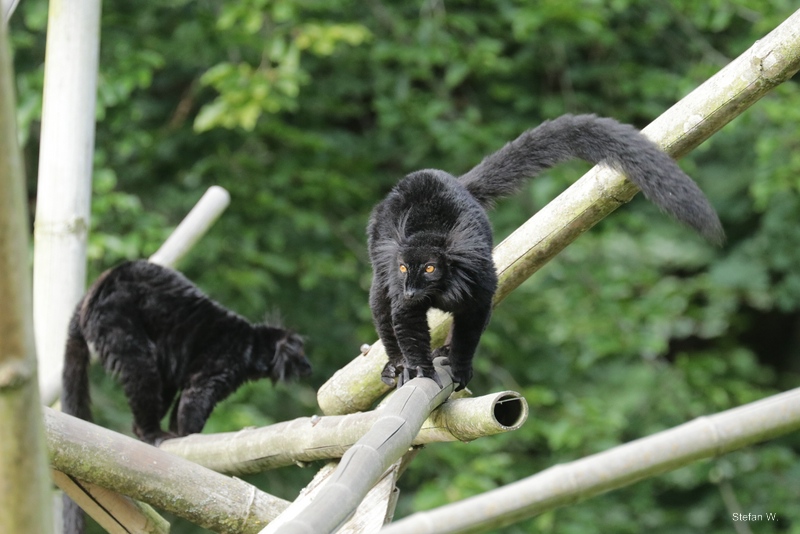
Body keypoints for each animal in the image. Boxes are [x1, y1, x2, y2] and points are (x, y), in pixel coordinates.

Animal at [368, 114, 724, 391]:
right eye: (404, 268)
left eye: (430, 268)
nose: (410, 289)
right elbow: (404, 316)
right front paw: (417, 369)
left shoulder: (477, 275)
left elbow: (473, 317)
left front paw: (458, 365)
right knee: (381, 301)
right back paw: (396, 364)